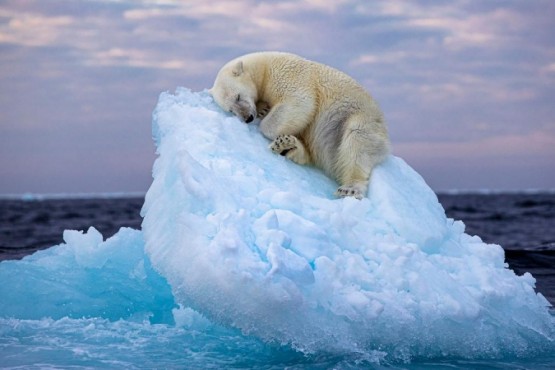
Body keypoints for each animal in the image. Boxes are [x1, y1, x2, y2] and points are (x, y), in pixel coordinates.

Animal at [210, 51, 390, 199]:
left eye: (238, 96)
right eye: (231, 110)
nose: (247, 117)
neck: (264, 67)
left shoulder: (288, 75)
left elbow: (300, 102)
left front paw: (265, 119)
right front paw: (263, 109)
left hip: (359, 118)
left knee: (357, 142)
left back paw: (350, 188)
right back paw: (287, 146)